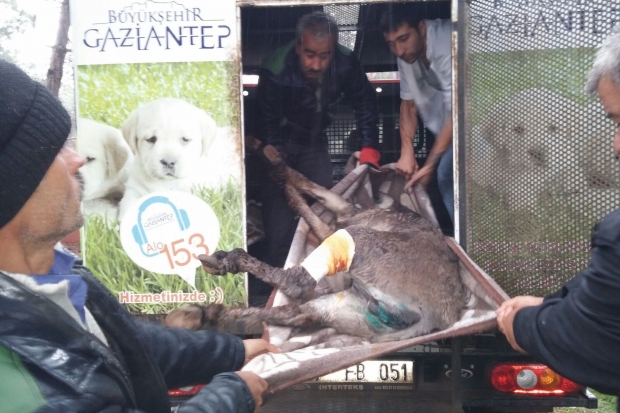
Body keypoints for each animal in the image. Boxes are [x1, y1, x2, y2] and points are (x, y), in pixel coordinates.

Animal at [165, 138, 467, 343]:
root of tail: (433, 316)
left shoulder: (345, 216)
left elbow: (309, 187)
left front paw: (269, 157)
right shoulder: (334, 228)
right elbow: (304, 200)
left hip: (361, 244)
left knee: (294, 285)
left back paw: (223, 264)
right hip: (343, 308)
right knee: (293, 313)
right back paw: (193, 315)